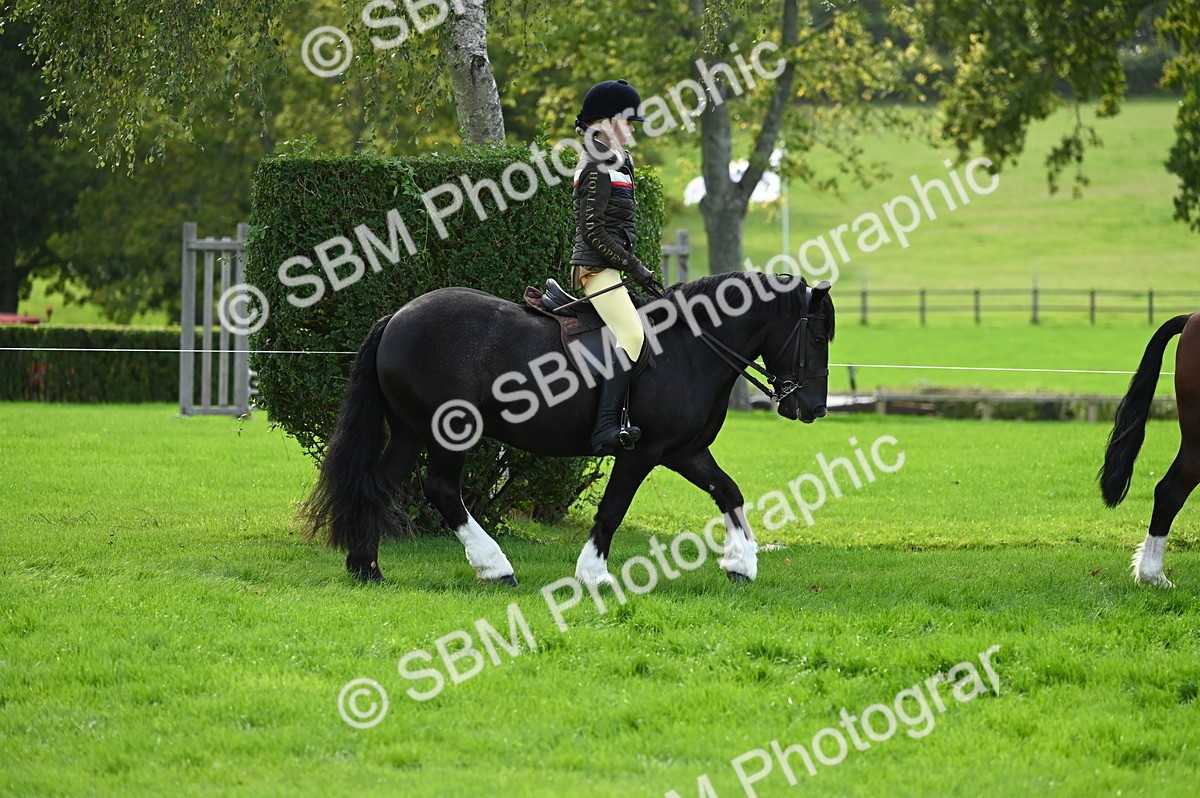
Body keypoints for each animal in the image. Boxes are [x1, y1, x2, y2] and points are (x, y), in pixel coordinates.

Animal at [302, 271, 834, 586]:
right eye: (815, 334)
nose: (813, 409)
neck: (691, 346)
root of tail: (397, 317)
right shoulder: (642, 452)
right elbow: (613, 509)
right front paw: (593, 574)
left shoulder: (685, 452)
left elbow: (729, 492)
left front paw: (741, 564)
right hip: (448, 433)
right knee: (441, 490)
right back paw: (495, 567)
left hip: (411, 432)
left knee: (377, 483)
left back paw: (366, 568)